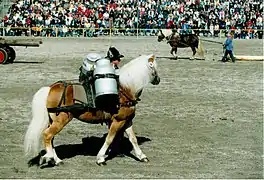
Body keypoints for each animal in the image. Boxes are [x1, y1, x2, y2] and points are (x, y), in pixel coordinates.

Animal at [24, 54, 160, 167]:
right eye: (154, 67)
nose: (158, 80)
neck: (124, 88)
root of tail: (51, 88)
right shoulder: (118, 121)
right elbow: (109, 139)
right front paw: (100, 158)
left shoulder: (126, 120)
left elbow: (133, 139)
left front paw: (141, 156)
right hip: (61, 120)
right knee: (47, 135)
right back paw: (50, 157)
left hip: (53, 121)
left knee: (50, 139)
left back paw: (56, 160)